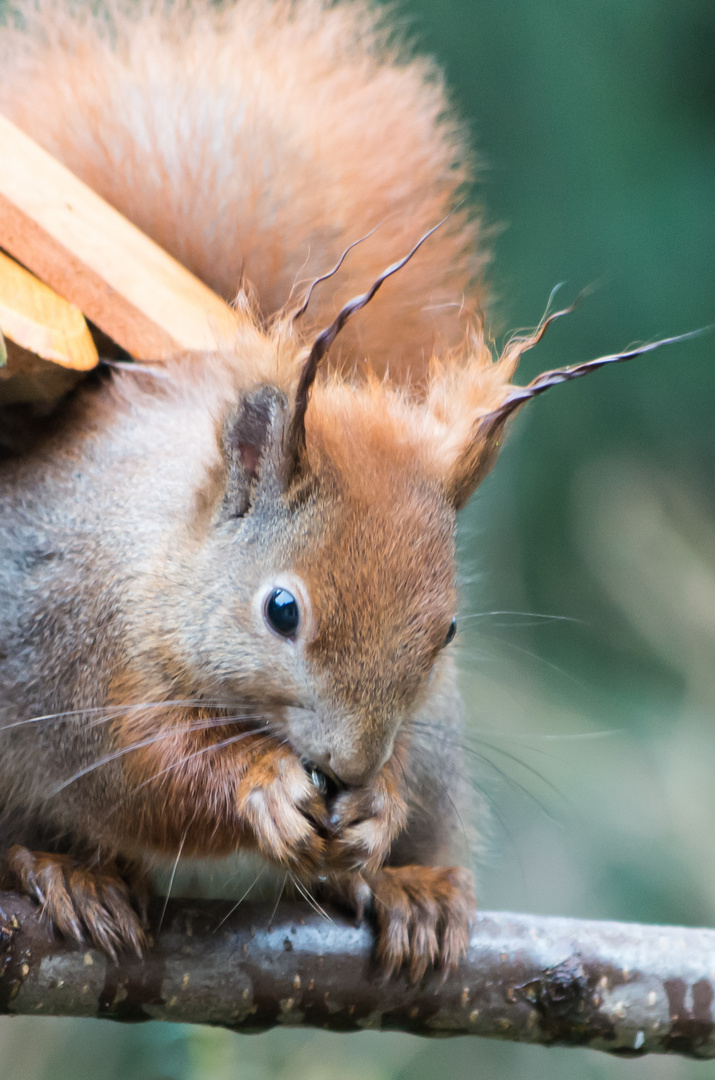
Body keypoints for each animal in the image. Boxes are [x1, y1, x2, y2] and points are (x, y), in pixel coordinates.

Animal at [0, 0, 695, 980]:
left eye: (448, 631)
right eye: (281, 610)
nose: (351, 767)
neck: (165, 562)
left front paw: (374, 817)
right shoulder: (75, 654)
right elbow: (142, 774)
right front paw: (258, 786)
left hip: (441, 754)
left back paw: (412, 889)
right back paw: (67, 873)